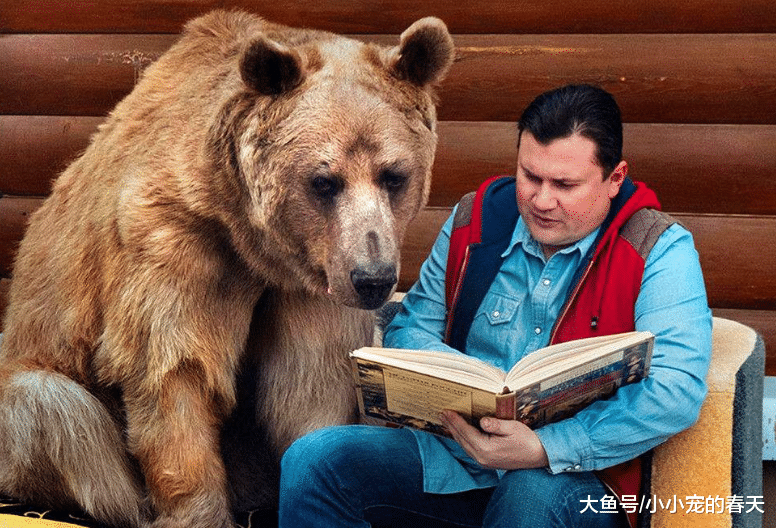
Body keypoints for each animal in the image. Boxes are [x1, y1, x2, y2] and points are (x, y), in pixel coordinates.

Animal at [0, 10, 454, 528]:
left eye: (393, 175)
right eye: (324, 180)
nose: (373, 279)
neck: (252, 242)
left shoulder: (313, 281)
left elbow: (310, 379)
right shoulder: (174, 242)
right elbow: (175, 368)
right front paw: (197, 510)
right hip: (37, 378)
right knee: (52, 410)